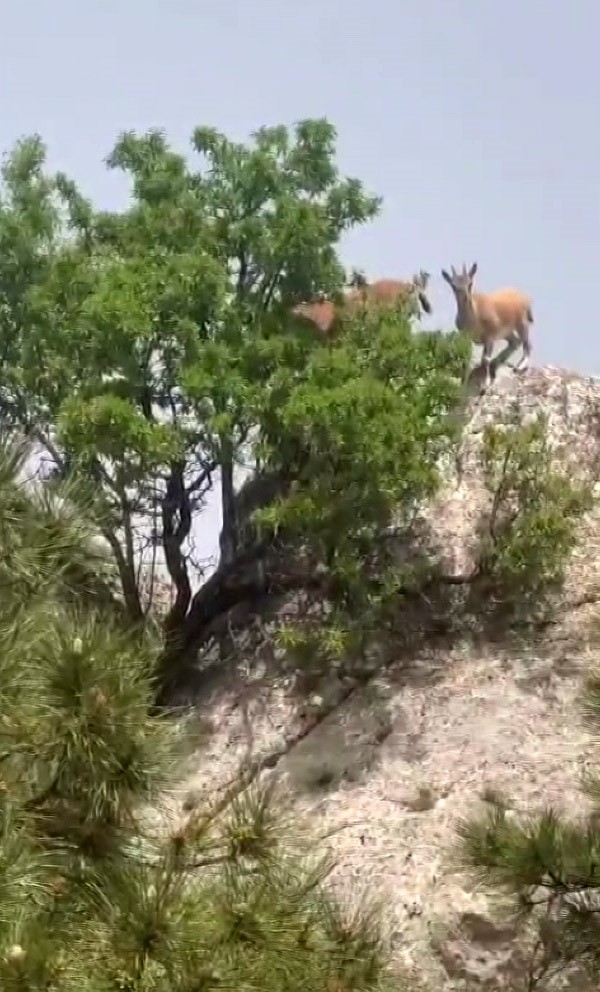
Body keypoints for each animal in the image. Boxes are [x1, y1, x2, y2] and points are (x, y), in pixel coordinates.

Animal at [440, 262, 536, 390]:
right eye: (453, 286)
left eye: (470, 283)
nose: (465, 298)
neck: (475, 317)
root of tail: (523, 296)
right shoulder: (466, 337)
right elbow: (467, 358)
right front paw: (463, 382)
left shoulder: (490, 336)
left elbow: (485, 359)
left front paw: (485, 384)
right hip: (506, 331)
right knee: (515, 342)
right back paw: (497, 362)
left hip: (521, 322)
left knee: (526, 343)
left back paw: (519, 367)